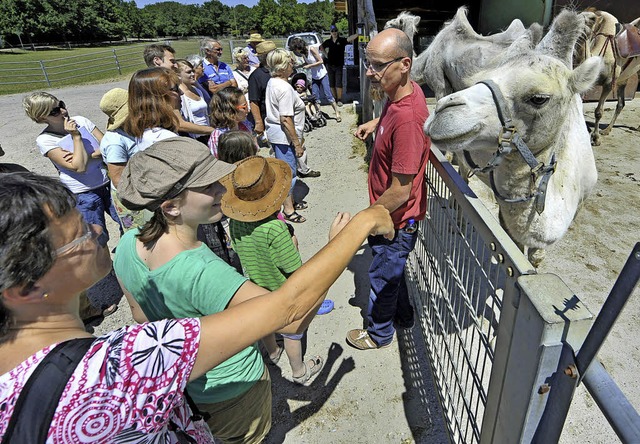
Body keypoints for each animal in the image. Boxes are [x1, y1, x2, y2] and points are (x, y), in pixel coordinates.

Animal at [422, 7, 604, 268]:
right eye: (477, 78)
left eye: (539, 98)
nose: (442, 113)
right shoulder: (505, 210)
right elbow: (517, 249)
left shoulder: (579, 202)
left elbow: (537, 257)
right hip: (437, 78)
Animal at [576, 9, 640, 146]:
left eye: (592, 19)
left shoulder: (609, 83)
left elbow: (599, 112)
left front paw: (595, 138)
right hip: (623, 79)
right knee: (621, 103)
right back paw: (607, 130)